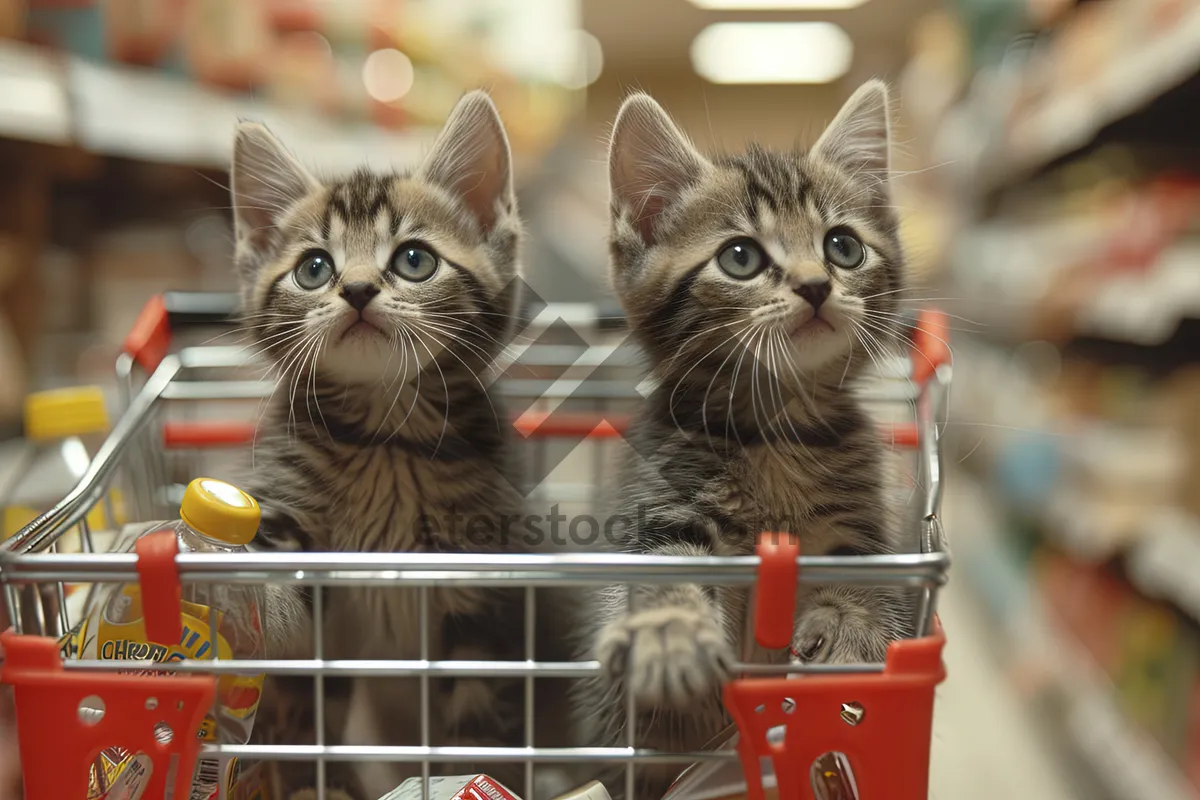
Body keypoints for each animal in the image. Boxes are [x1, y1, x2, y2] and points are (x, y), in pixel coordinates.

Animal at [576, 79, 912, 796]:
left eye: (843, 246)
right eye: (741, 257)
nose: (816, 286)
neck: (775, 431)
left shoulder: (862, 519)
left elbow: (866, 571)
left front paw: (851, 623)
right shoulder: (661, 501)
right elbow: (665, 568)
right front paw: (670, 636)